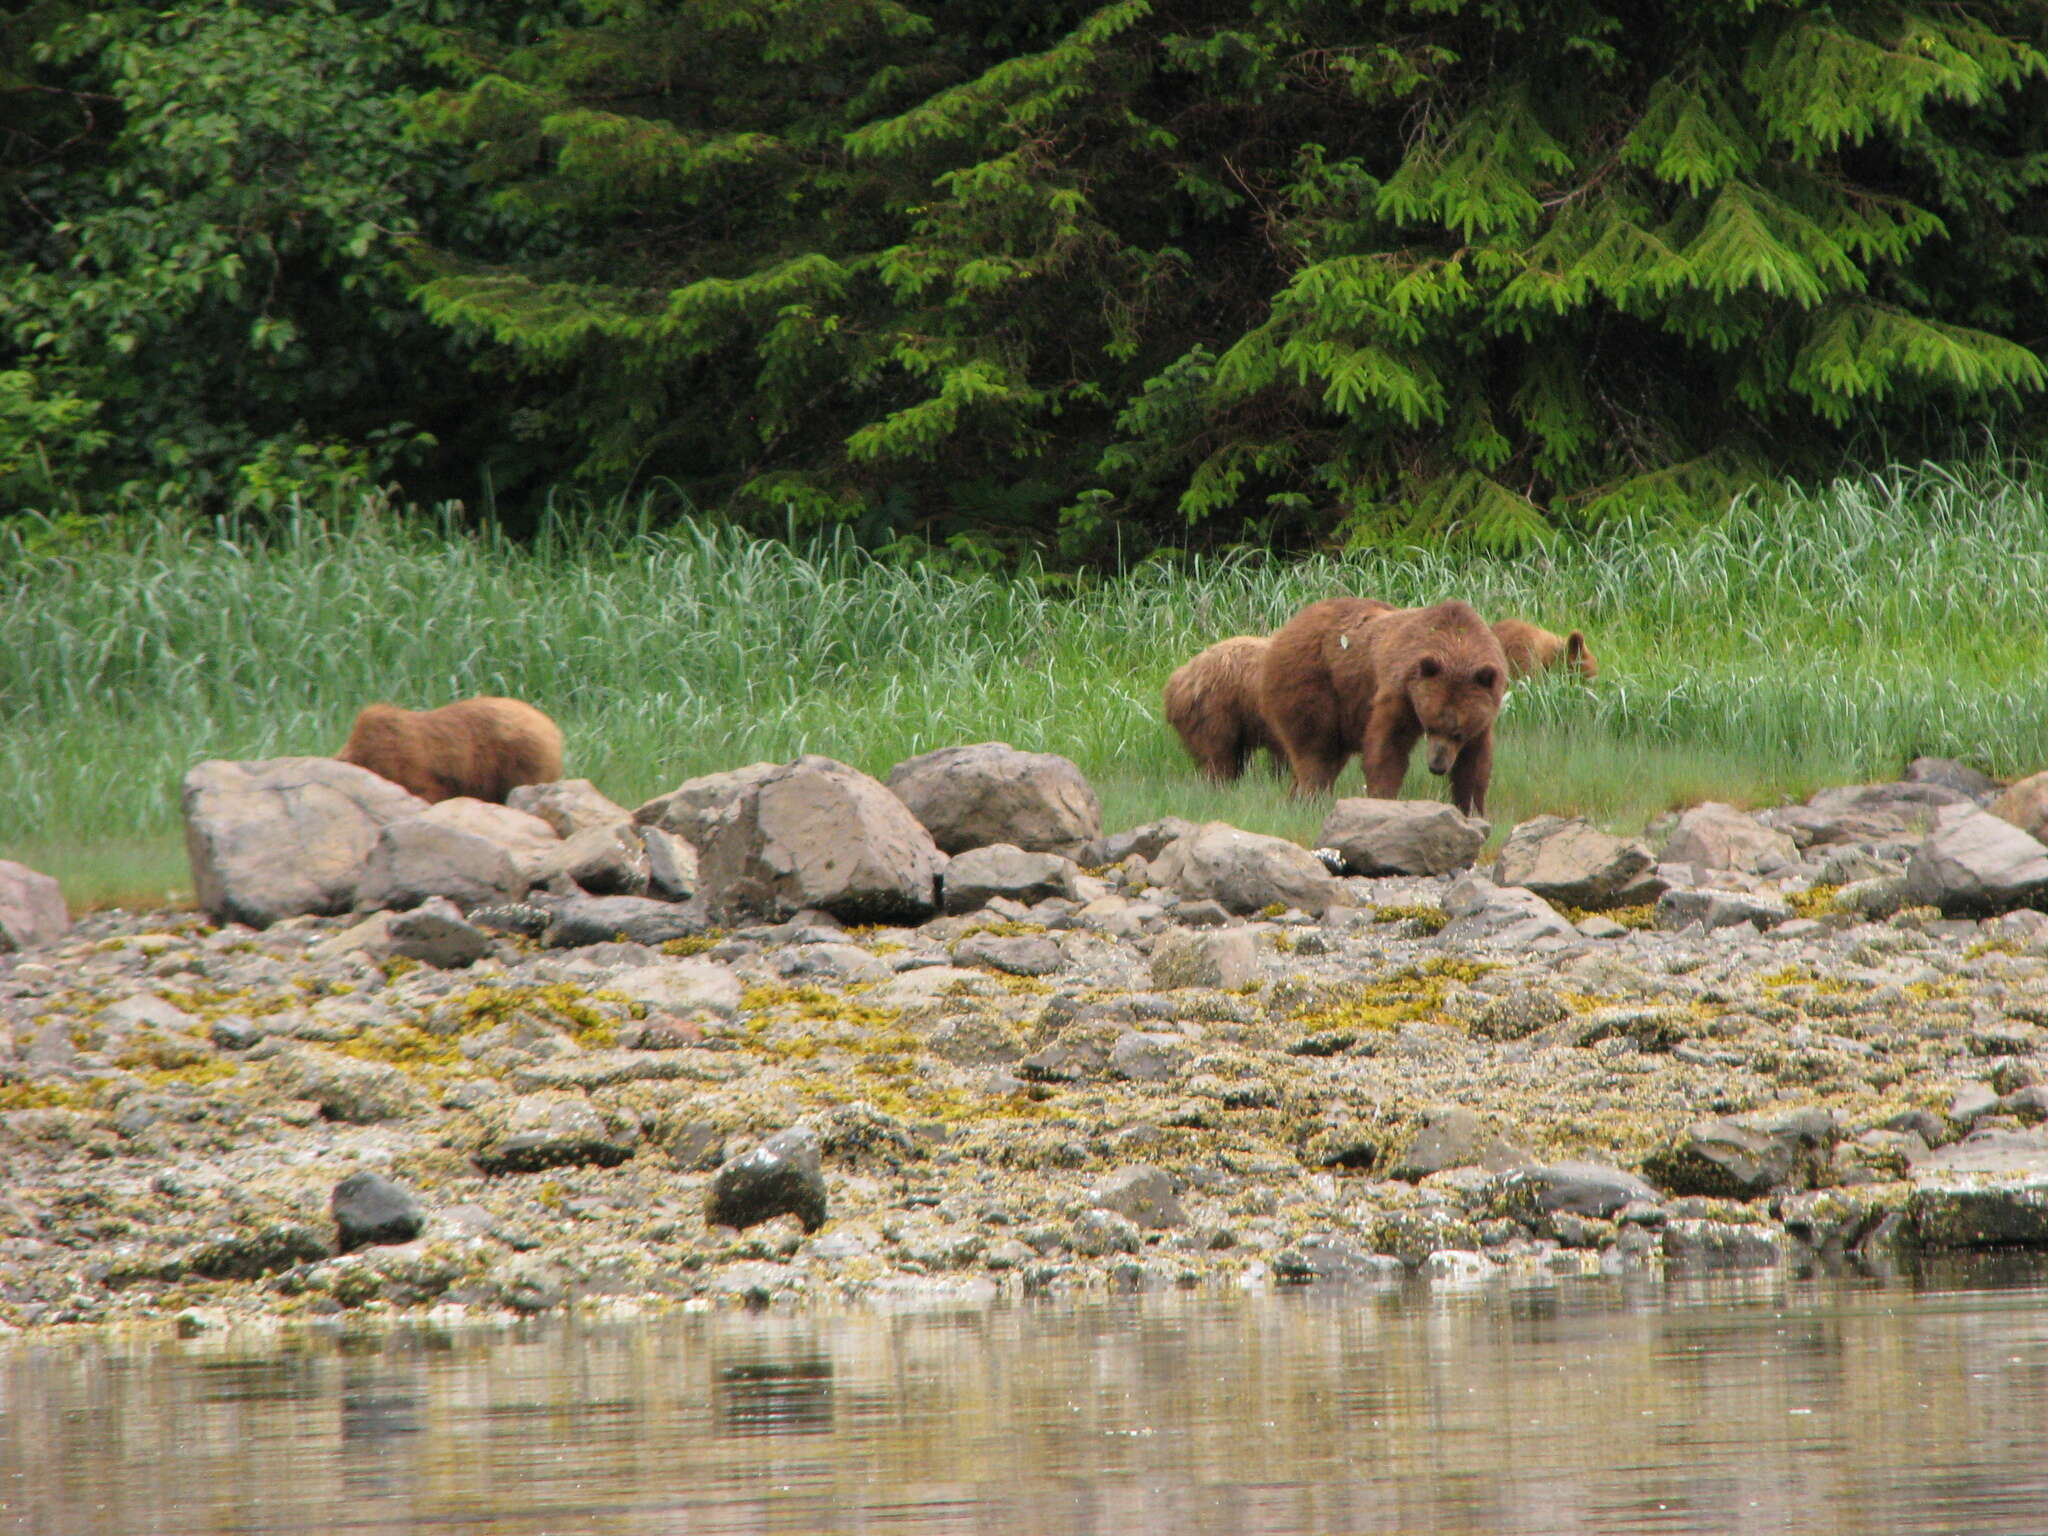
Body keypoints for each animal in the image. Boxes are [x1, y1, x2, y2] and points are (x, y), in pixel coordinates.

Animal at [1261, 598, 1507, 819]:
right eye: (1430, 727)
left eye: (1458, 733)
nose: (1437, 766)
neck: (1456, 641)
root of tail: (1289, 625)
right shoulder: (1400, 692)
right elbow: (1388, 747)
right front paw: (1383, 800)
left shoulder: (1483, 712)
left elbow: (1474, 763)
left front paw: (1473, 809)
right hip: (1314, 681)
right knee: (1315, 749)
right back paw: (1312, 799)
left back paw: (1296, 800)